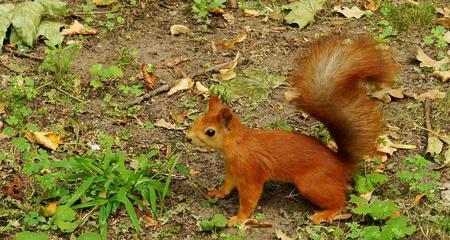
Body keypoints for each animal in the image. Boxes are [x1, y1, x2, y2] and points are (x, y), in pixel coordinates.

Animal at [185, 34, 398, 226]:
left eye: (210, 132)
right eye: (198, 120)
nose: (188, 138)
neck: (237, 144)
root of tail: (340, 165)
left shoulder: (251, 170)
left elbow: (249, 197)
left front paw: (239, 218)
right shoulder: (231, 169)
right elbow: (228, 184)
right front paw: (218, 192)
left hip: (311, 183)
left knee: (340, 199)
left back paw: (326, 213)